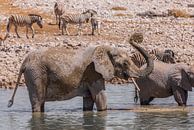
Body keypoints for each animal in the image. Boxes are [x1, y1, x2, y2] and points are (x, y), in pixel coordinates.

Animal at [7, 32, 153, 112]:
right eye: (125, 64)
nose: (135, 37)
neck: (105, 48)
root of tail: (24, 62)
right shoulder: (93, 72)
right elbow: (100, 98)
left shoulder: (91, 75)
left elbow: (88, 101)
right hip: (35, 74)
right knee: (37, 101)